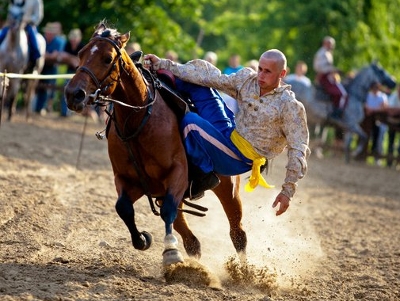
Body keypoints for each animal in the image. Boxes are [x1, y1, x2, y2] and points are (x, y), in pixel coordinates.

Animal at [64, 22, 247, 264]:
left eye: (107, 58)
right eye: (80, 53)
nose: (73, 94)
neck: (139, 120)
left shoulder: (177, 174)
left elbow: (167, 211)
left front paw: (170, 251)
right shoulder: (129, 180)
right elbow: (123, 208)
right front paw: (143, 239)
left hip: (228, 186)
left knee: (237, 232)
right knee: (191, 239)